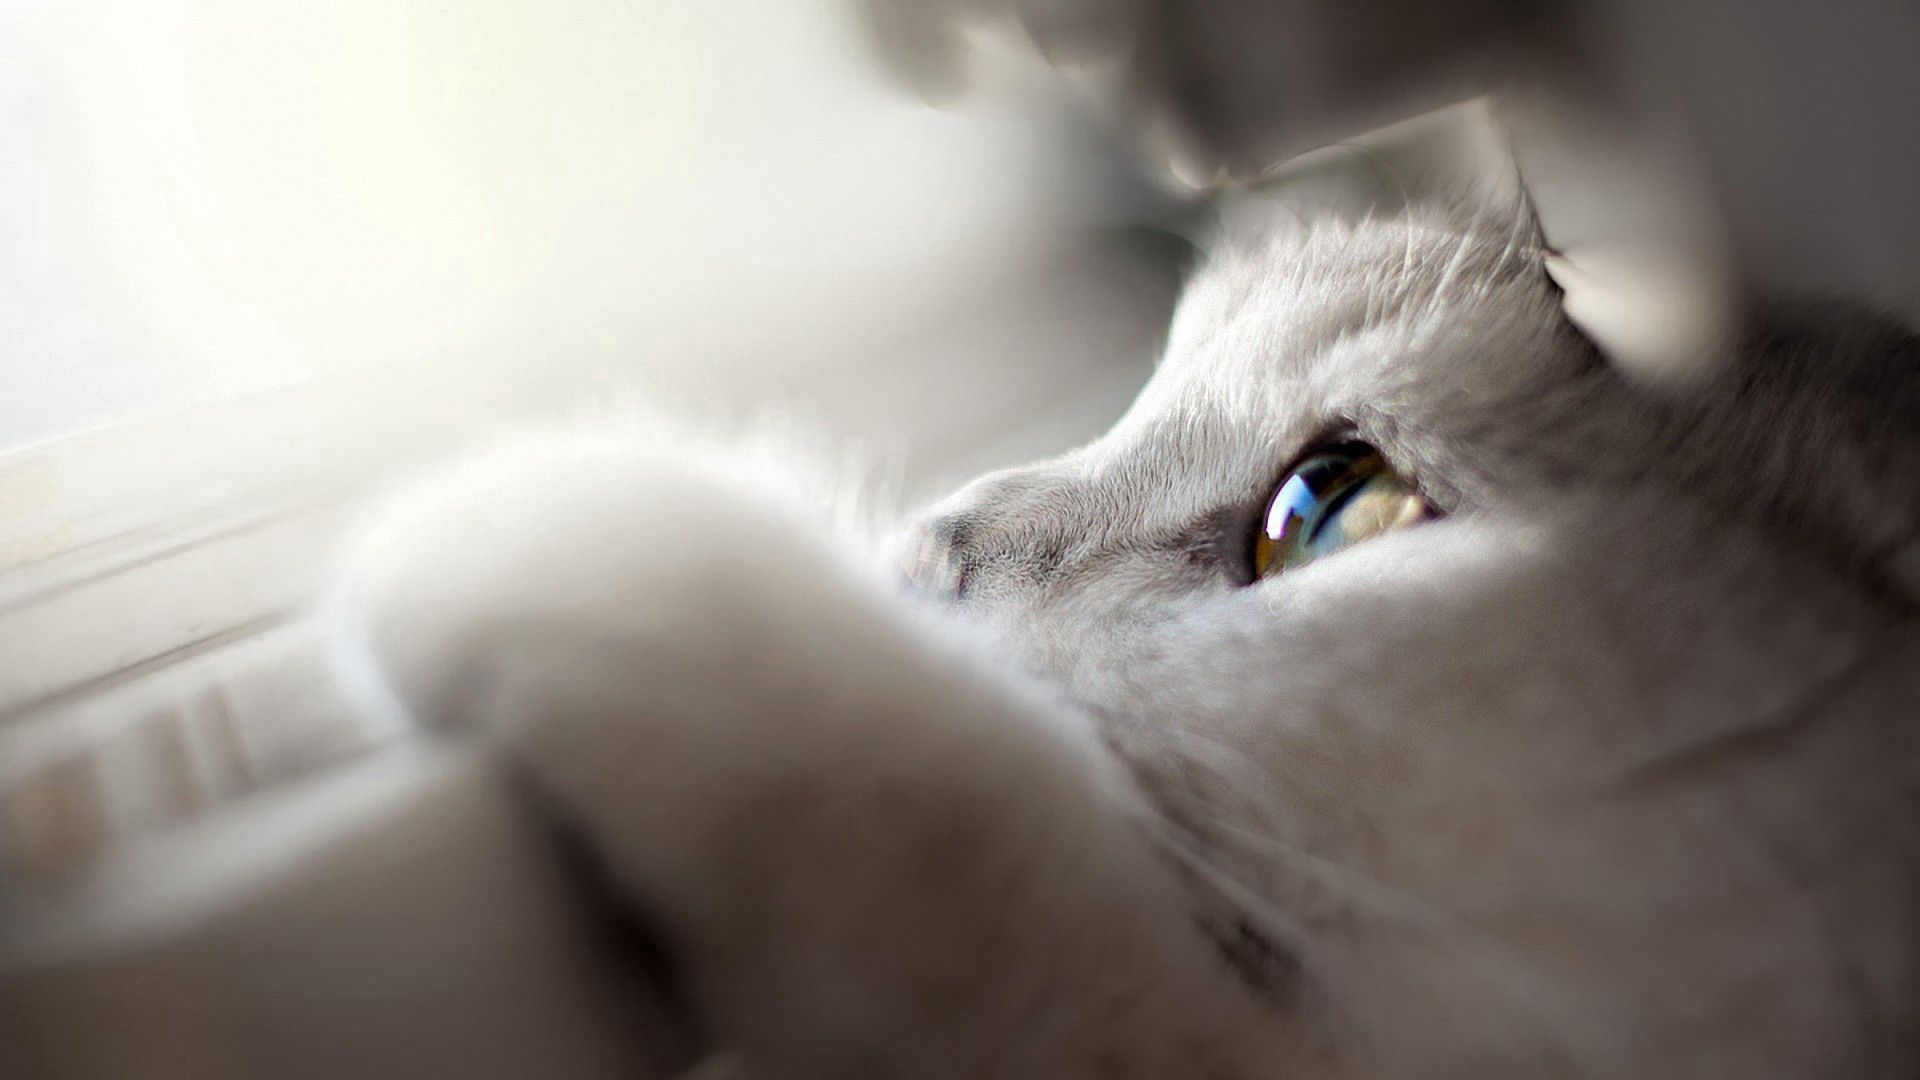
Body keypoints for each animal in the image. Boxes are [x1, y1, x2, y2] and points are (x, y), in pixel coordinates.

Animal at [330, 145, 1920, 1076]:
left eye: (1329, 514)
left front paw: (539, 519)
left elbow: (950, 824)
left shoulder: (1162, 1025)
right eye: (1146, 387)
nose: (923, 549)